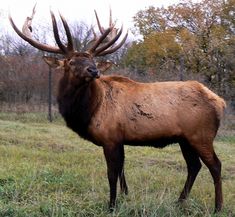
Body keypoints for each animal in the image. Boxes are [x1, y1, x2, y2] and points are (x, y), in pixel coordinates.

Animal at [9, 7, 226, 213]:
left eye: (92, 61)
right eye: (71, 62)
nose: (94, 71)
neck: (90, 110)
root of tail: (220, 102)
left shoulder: (110, 138)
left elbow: (112, 174)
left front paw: (111, 205)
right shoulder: (120, 139)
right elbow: (122, 171)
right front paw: (125, 196)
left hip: (201, 135)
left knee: (215, 165)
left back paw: (217, 207)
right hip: (185, 139)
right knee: (194, 166)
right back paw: (179, 201)